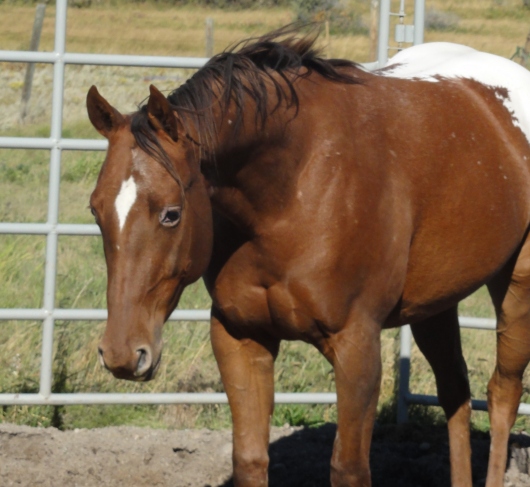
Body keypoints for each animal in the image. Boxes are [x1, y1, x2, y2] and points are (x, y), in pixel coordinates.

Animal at [85, 27, 528, 487]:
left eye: (171, 214)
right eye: (95, 211)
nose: (121, 354)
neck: (293, 188)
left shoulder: (357, 348)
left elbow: (348, 468)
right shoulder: (239, 337)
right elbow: (250, 459)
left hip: (516, 287)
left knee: (502, 395)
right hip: (434, 303)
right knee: (455, 390)